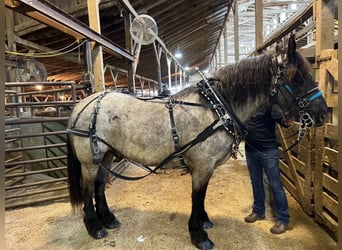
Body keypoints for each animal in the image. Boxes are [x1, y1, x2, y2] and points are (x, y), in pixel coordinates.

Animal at [67, 35, 328, 250]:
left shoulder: (207, 167)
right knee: (88, 189)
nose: (324, 114)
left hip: (107, 155)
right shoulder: (202, 166)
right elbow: (197, 196)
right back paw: (95, 227)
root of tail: (85, 103)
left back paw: (108, 219)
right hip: (89, 161)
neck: (215, 109)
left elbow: (202, 197)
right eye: (299, 78)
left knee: (100, 187)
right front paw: (199, 235)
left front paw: (204, 221)